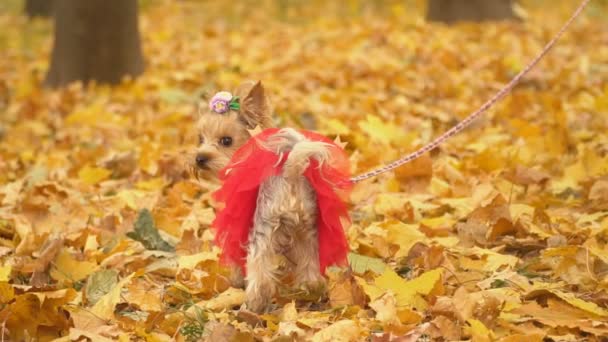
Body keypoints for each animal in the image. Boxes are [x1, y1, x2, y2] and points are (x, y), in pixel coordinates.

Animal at [192, 81, 350, 312]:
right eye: (200, 138)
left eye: (226, 141)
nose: (200, 158)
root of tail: (290, 173)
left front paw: (236, 281)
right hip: (308, 229)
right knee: (311, 267)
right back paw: (311, 291)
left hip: (264, 226)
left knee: (260, 271)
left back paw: (253, 304)